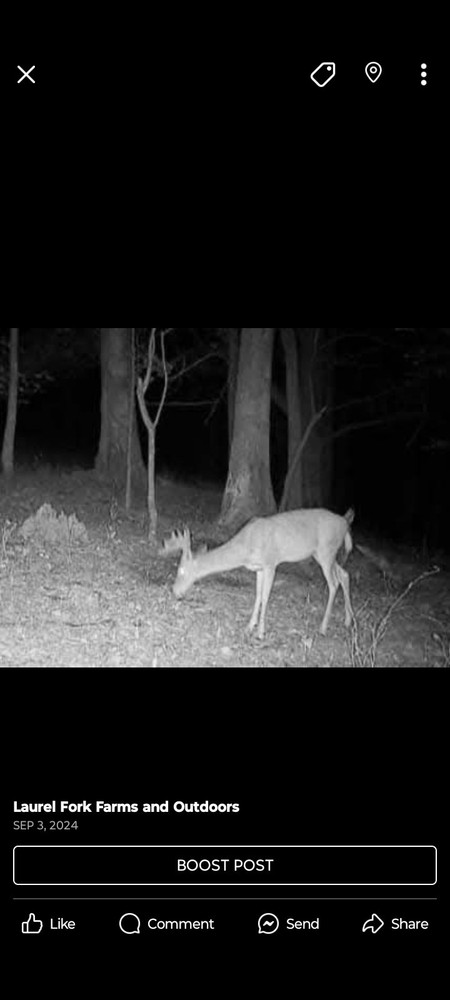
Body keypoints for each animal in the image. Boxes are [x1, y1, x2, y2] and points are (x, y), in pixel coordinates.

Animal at [160, 507, 355, 639]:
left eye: (181, 570)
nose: (174, 590)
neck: (246, 545)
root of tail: (345, 523)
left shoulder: (270, 563)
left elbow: (266, 597)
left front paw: (261, 632)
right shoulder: (259, 568)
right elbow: (258, 595)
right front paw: (249, 626)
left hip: (326, 551)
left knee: (333, 583)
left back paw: (323, 628)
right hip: (324, 554)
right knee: (344, 574)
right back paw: (348, 620)